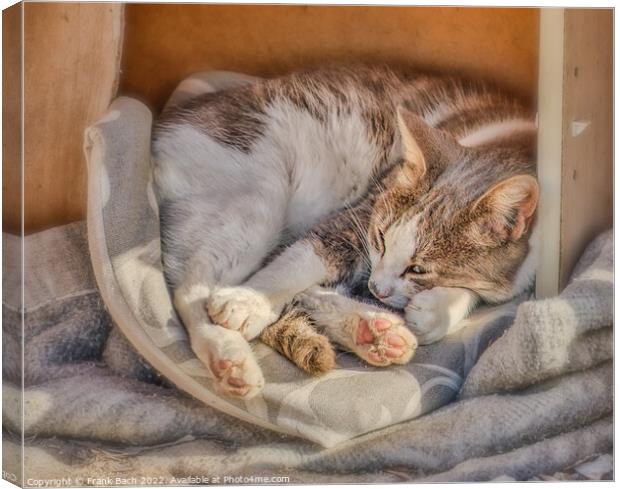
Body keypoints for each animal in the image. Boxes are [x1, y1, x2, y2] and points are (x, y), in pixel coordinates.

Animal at [151, 65, 536, 398]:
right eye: (380, 238)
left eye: (418, 269)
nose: (376, 289)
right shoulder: (358, 216)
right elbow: (300, 263)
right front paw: (245, 302)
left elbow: (486, 290)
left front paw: (439, 308)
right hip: (256, 195)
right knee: (191, 288)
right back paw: (229, 355)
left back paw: (373, 332)